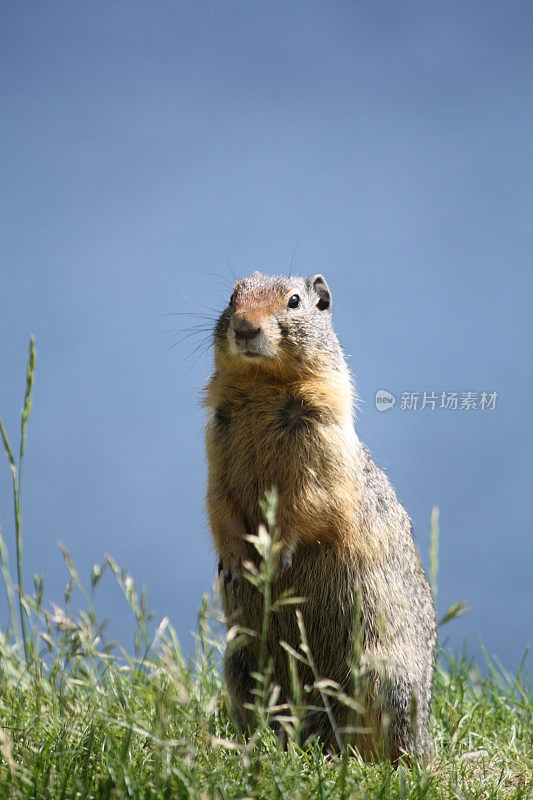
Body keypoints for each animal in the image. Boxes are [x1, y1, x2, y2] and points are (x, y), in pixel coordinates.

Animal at [204, 272, 436, 760]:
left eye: (294, 301)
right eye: (232, 296)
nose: (245, 327)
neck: (263, 386)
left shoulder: (320, 434)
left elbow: (311, 499)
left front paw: (274, 553)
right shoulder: (216, 438)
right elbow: (218, 501)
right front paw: (236, 561)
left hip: (382, 675)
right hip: (239, 660)